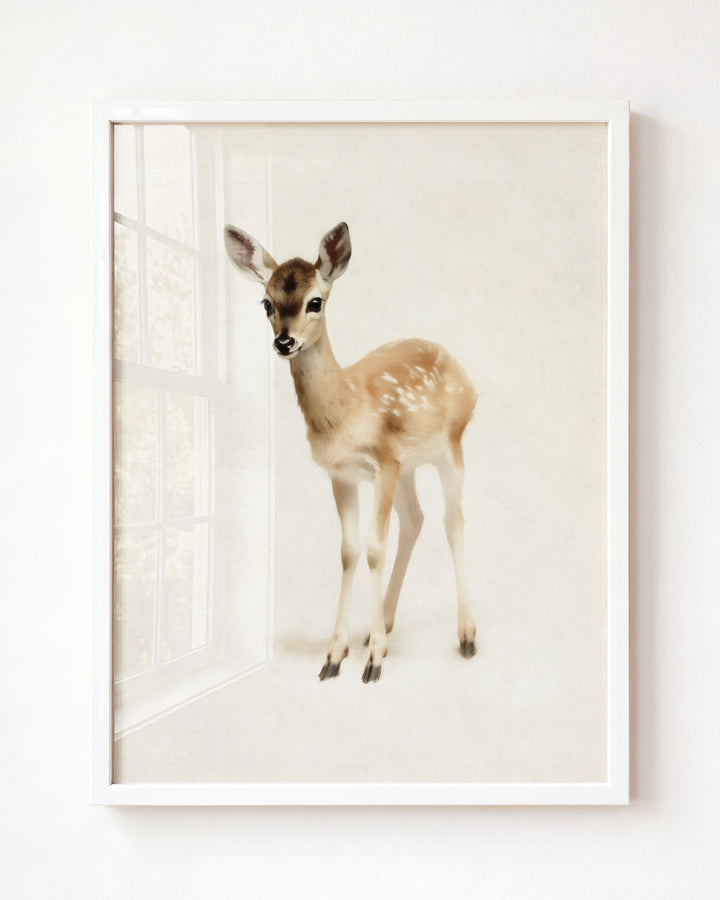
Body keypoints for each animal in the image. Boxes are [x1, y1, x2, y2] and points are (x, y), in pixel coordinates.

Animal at [224, 222, 477, 683]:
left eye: (315, 301)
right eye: (266, 302)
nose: (284, 342)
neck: (346, 413)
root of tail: (464, 373)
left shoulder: (383, 463)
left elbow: (375, 548)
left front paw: (374, 661)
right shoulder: (343, 474)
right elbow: (349, 551)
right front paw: (335, 654)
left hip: (450, 445)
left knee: (453, 521)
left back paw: (465, 635)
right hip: (409, 465)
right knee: (416, 519)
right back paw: (384, 624)